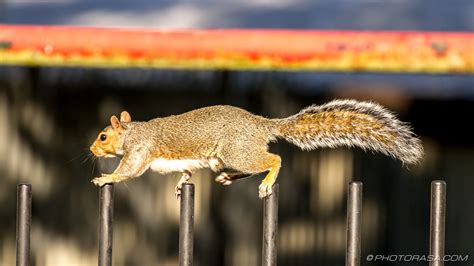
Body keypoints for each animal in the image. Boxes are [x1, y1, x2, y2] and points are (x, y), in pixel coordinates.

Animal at [89, 99, 422, 197]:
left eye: (103, 136)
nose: (92, 150)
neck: (133, 132)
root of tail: (261, 125)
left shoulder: (140, 151)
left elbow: (128, 171)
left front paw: (105, 178)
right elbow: (186, 172)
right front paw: (181, 184)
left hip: (236, 152)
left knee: (274, 159)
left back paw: (267, 182)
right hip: (226, 158)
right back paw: (228, 178)